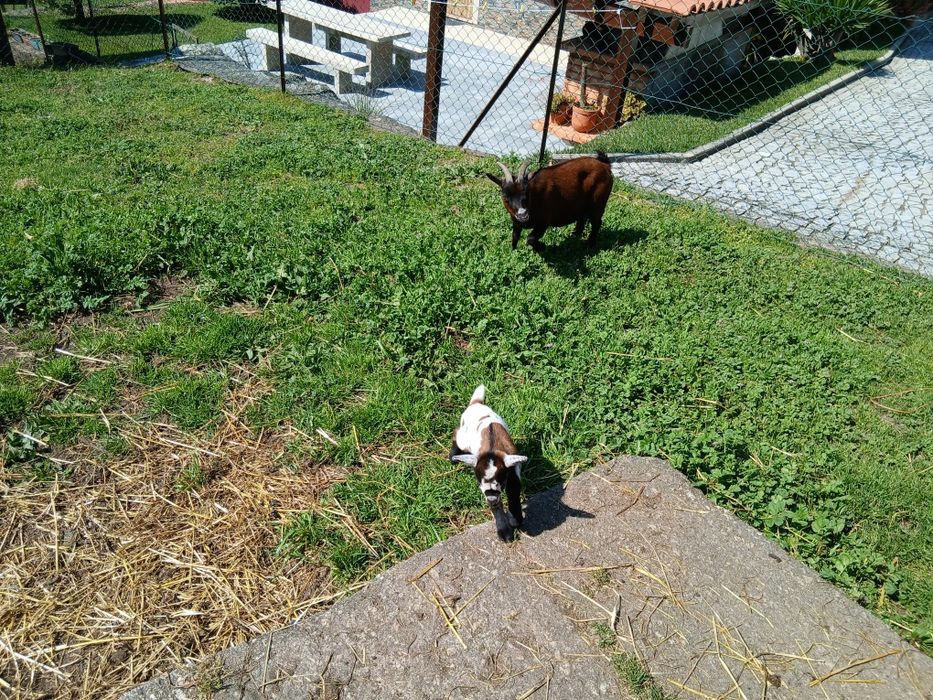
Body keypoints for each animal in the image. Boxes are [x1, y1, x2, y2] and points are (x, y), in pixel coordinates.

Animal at [449, 385, 526, 542]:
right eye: (480, 483)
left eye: (501, 483)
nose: (491, 498)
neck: (492, 450)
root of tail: (475, 403)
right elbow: (496, 506)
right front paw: (505, 531)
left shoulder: (512, 468)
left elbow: (513, 489)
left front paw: (515, 520)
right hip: (463, 438)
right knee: (456, 433)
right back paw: (453, 456)